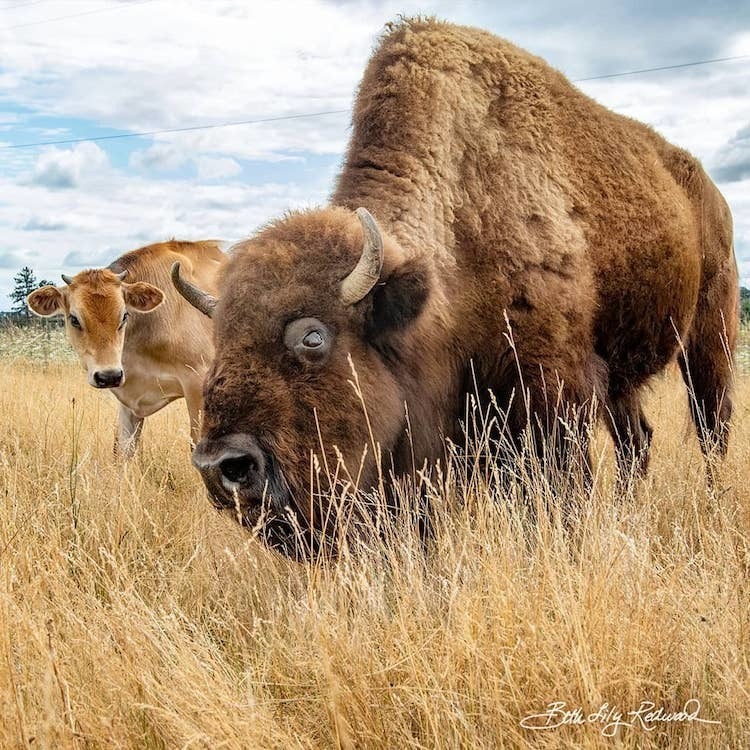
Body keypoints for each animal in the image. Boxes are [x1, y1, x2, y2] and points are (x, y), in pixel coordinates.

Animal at [27, 241, 228, 456]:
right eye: (74, 319)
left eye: (124, 315)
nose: (108, 376)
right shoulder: (127, 404)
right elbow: (123, 452)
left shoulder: (198, 385)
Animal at [175, 19, 740, 560]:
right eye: (217, 342)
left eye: (313, 337)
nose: (220, 466)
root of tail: (711, 192)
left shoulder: (555, 393)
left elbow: (557, 495)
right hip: (624, 383)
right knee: (638, 440)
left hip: (710, 337)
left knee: (712, 427)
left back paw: (714, 501)